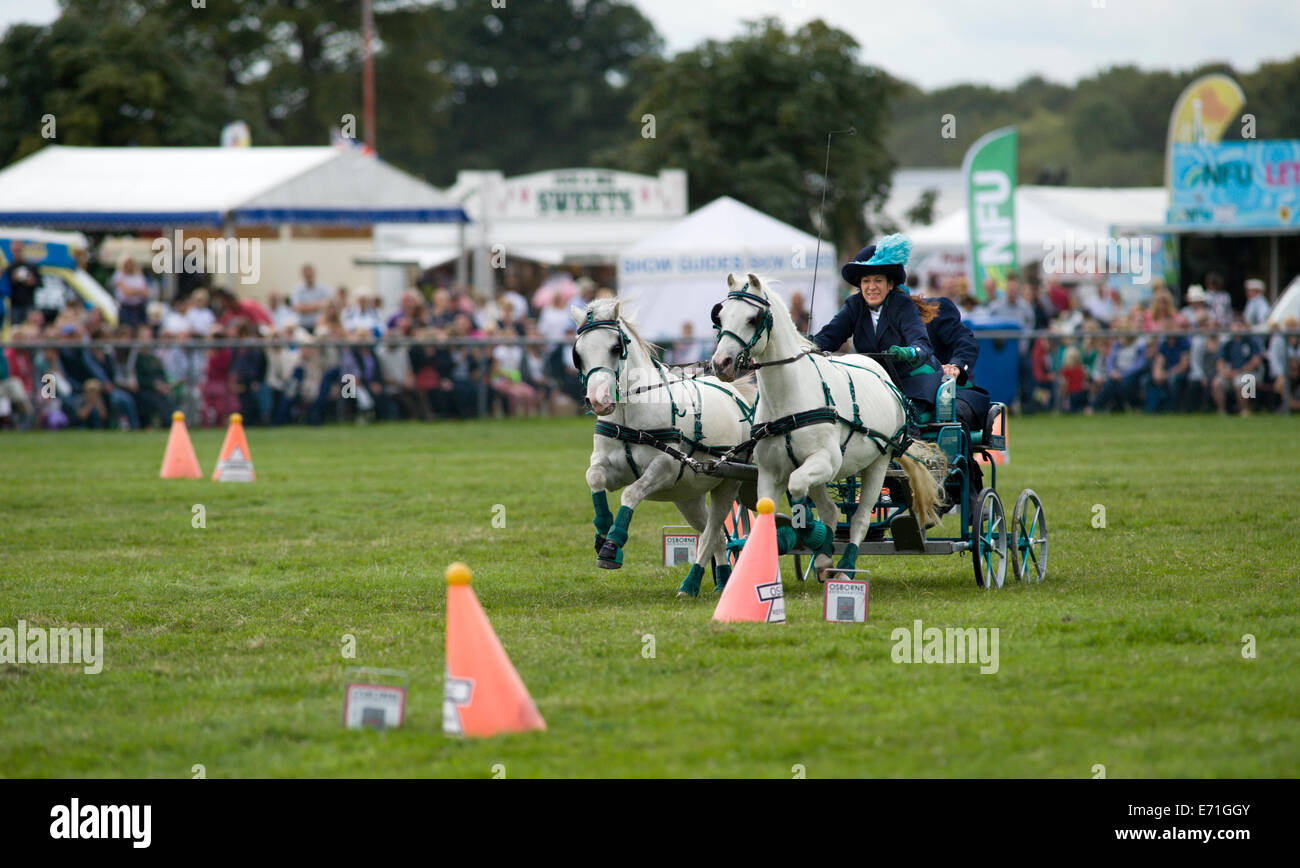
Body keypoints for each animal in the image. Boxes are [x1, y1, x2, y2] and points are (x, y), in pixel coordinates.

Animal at [574, 298, 759, 597]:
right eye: (577, 354)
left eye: (615, 347)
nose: (599, 400)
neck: (629, 413)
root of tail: (737, 395)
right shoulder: (608, 466)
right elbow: (595, 478)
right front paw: (602, 531)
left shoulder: (665, 467)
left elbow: (631, 493)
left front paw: (612, 545)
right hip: (688, 496)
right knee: (717, 536)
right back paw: (721, 580)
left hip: (728, 482)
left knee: (711, 533)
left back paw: (690, 583)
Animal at [712, 274, 946, 579]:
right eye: (720, 316)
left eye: (753, 318)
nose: (721, 364)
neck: (789, 398)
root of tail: (878, 368)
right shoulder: (770, 472)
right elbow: (771, 510)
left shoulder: (826, 460)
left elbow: (797, 487)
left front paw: (809, 534)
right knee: (832, 509)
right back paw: (824, 558)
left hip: (877, 464)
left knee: (860, 518)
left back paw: (845, 567)